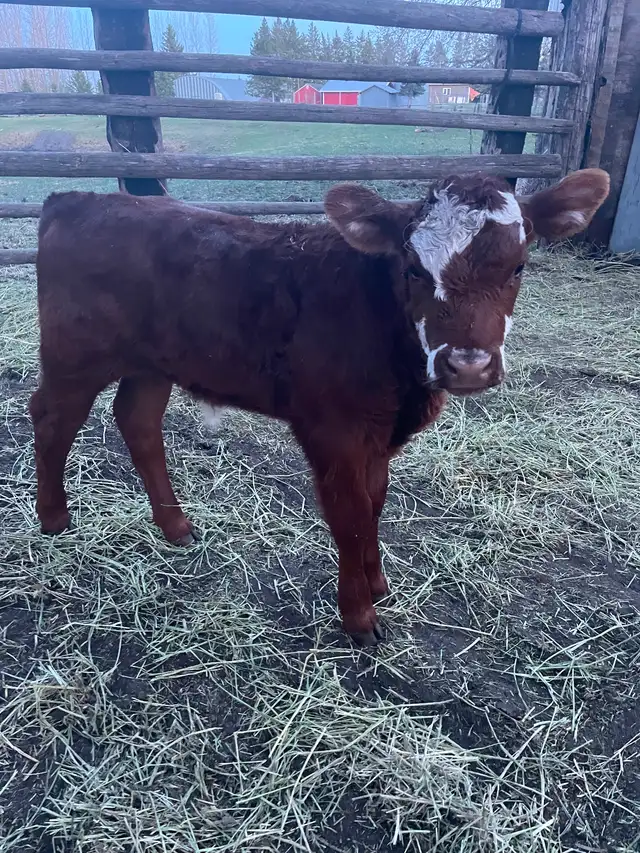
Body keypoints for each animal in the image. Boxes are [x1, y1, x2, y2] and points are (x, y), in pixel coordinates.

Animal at [30, 169, 609, 645]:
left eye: (518, 267)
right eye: (414, 269)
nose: (467, 365)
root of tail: (73, 199)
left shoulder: (378, 433)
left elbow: (374, 503)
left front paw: (377, 582)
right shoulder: (333, 429)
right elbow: (349, 514)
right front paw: (358, 617)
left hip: (153, 363)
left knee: (139, 422)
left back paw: (176, 528)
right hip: (75, 354)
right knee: (52, 416)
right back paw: (54, 518)